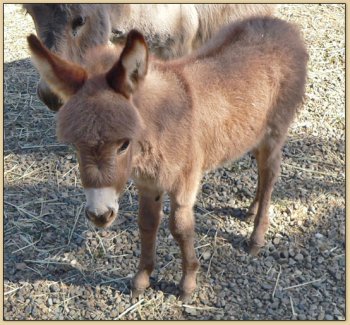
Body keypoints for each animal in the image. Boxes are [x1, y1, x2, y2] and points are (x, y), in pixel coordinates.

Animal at [27, 14, 308, 298]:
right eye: (75, 145)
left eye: (123, 145)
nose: (99, 215)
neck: (159, 125)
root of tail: (280, 25)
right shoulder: (148, 184)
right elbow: (147, 224)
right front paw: (142, 279)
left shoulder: (185, 183)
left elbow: (180, 229)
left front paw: (188, 283)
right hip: (254, 133)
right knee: (261, 171)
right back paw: (251, 210)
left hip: (275, 131)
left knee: (271, 174)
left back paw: (256, 238)